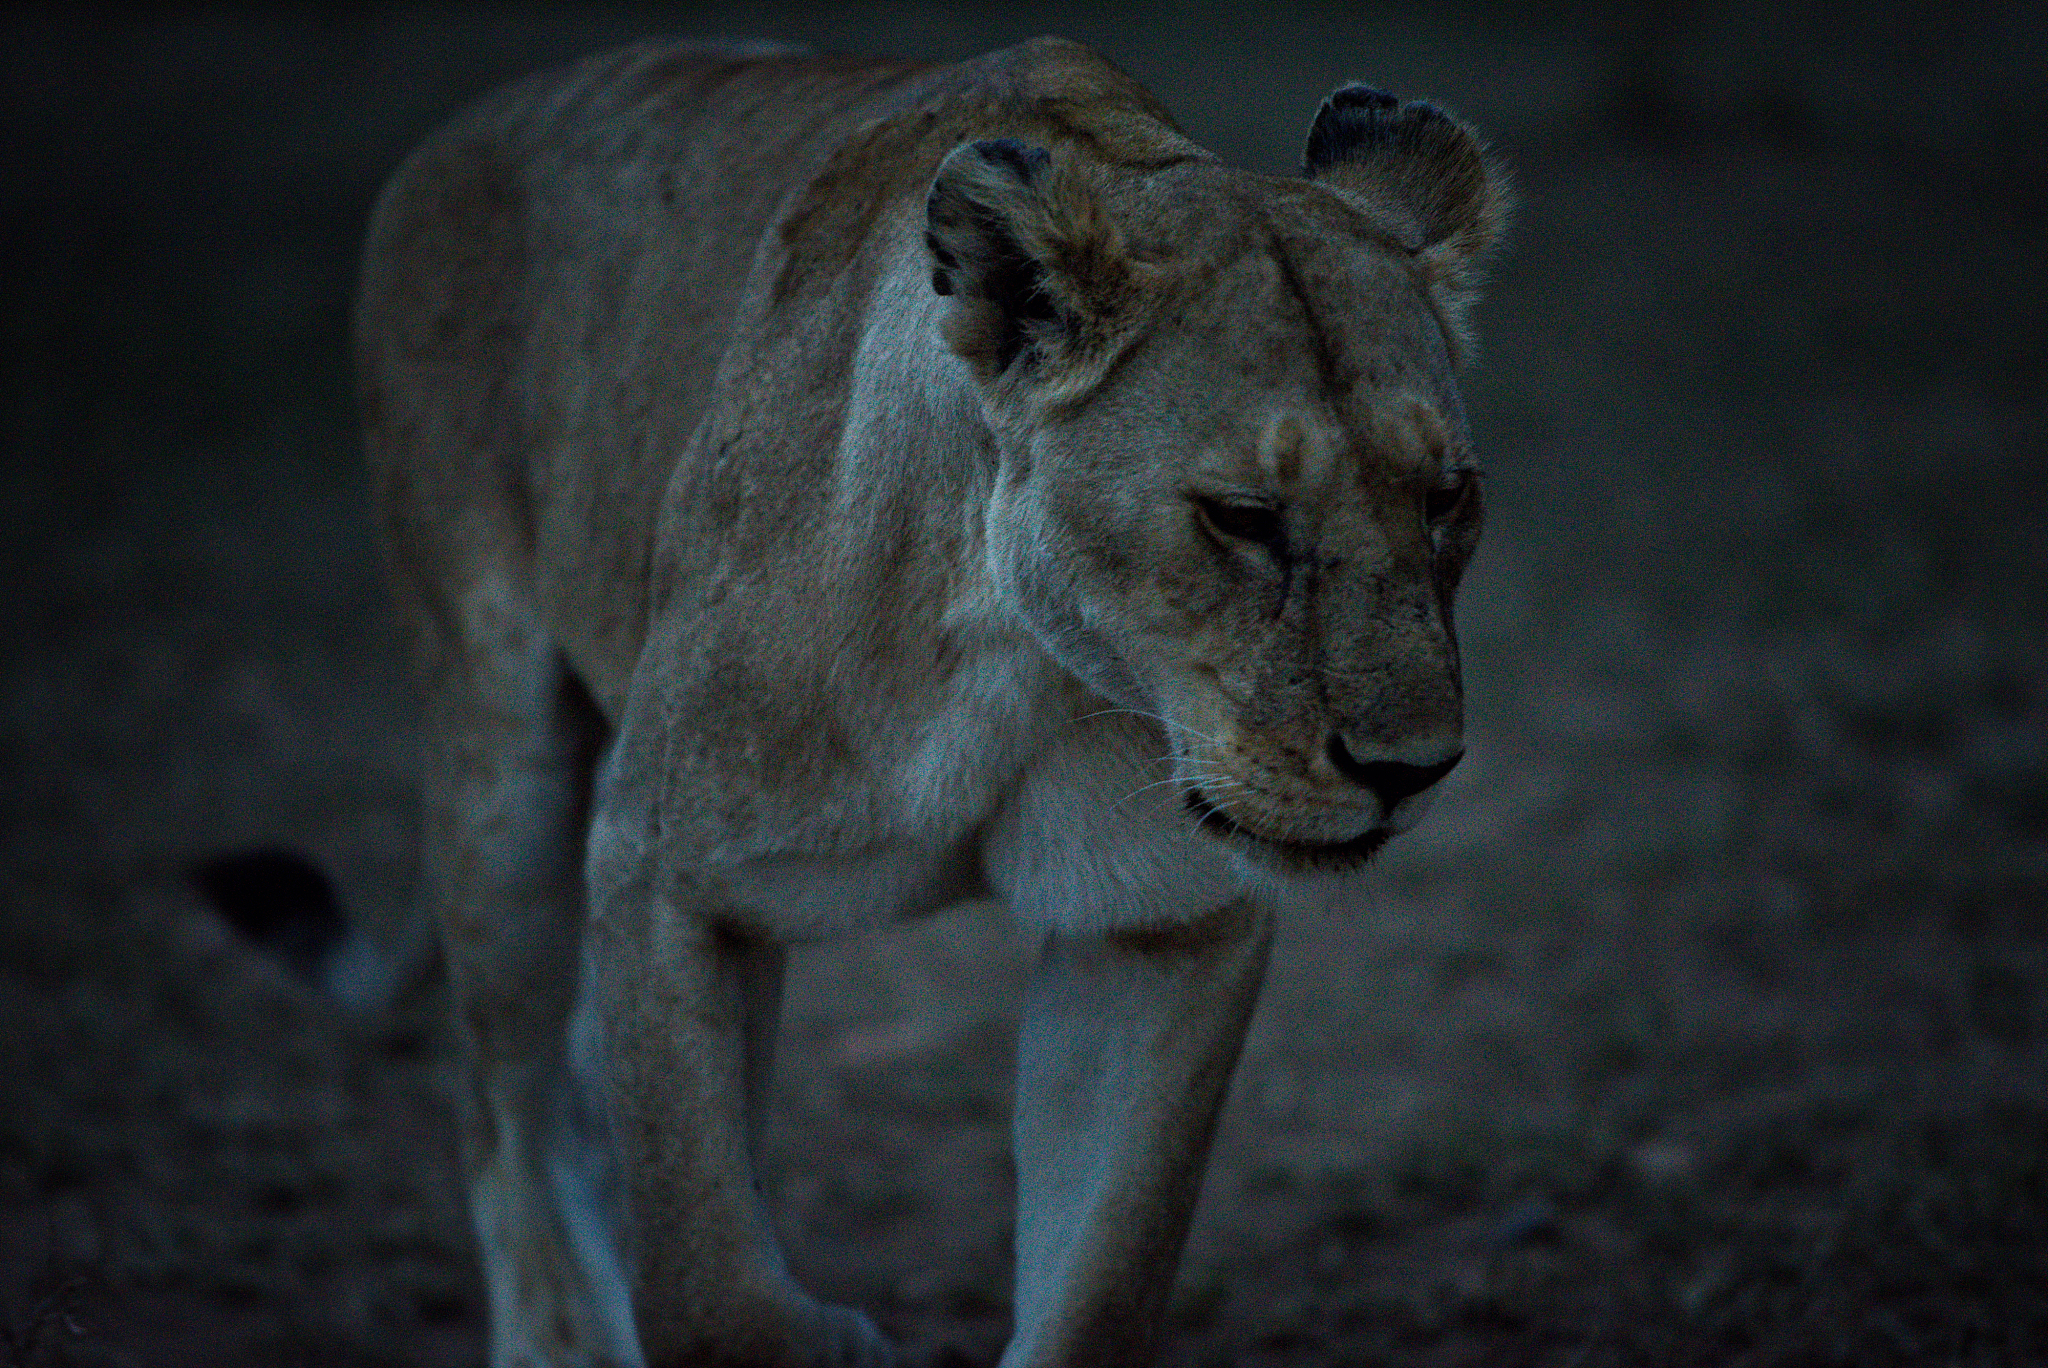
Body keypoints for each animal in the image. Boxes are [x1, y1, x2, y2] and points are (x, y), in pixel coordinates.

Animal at [354, 33, 1507, 1368]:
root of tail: (465, 127)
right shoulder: (659, 868)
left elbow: (1099, 1288)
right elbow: (704, 1280)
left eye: (1445, 496)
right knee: (505, 1108)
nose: (1410, 769)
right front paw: (825, 1343)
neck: (1022, 664)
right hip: (502, 779)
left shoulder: (1158, 926)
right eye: (1242, 519)